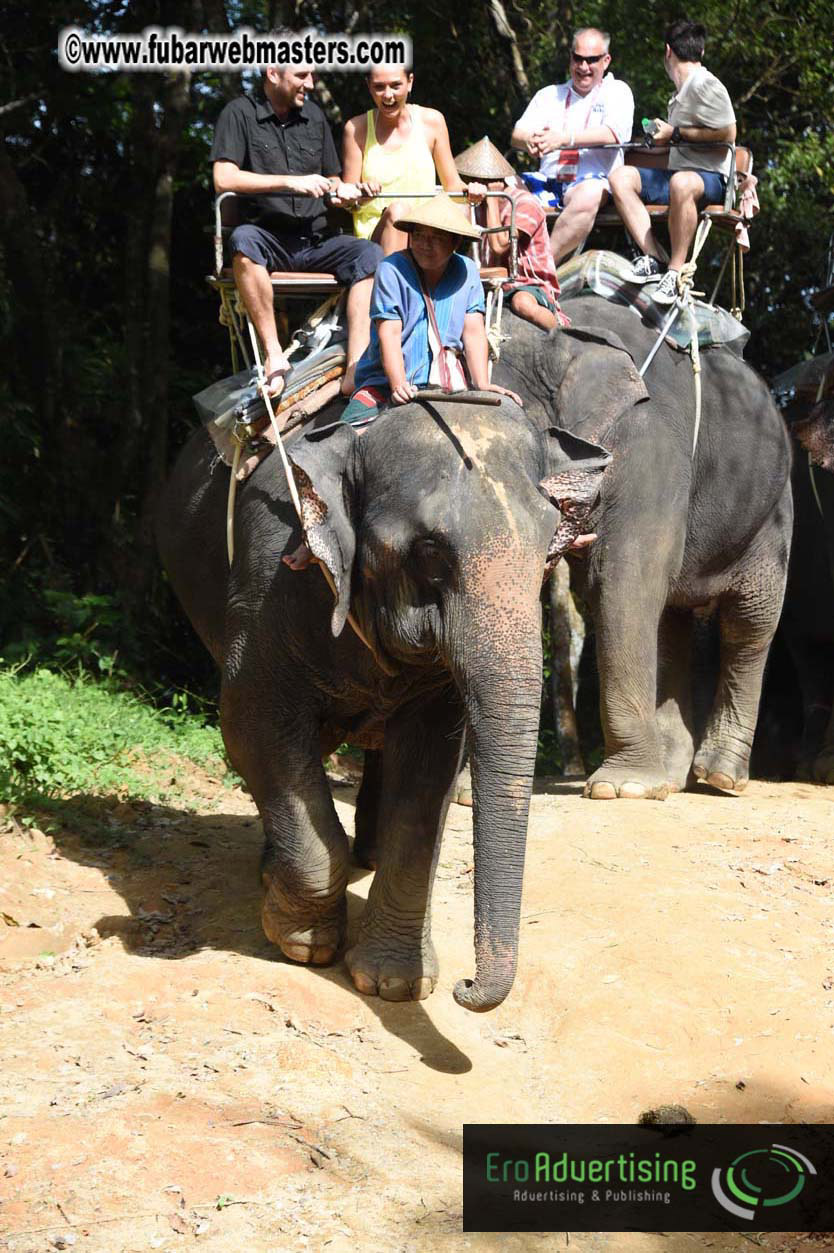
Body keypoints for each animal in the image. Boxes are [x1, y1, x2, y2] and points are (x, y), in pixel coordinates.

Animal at [157, 394, 611, 1012]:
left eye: (549, 552)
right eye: (430, 552)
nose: (467, 986)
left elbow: (427, 777)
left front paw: (397, 984)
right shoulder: (269, 575)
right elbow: (250, 725)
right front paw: (301, 943)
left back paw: (363, 857)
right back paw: (279, 872)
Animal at [491, 291, 793, 799]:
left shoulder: (650, 446)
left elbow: (621, 579)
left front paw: (621, 788)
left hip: (772, 518)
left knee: (748, 623)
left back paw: (719, 778)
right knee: (672, 624)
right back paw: (670, 779)